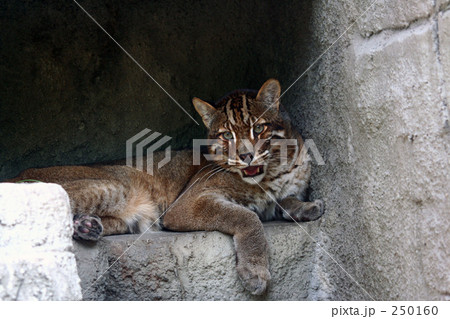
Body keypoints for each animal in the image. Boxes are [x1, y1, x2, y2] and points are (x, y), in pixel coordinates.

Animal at [8, 79, 326, 296]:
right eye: (226, 136)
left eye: (258, 129)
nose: (246, 156)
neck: (274, 170)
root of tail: (17, 173)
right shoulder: (186, 204)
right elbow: (246, 216)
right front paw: (255, 271)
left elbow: (284, 201)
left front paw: (308, 207)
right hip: (113, 185)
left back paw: (87, 226)